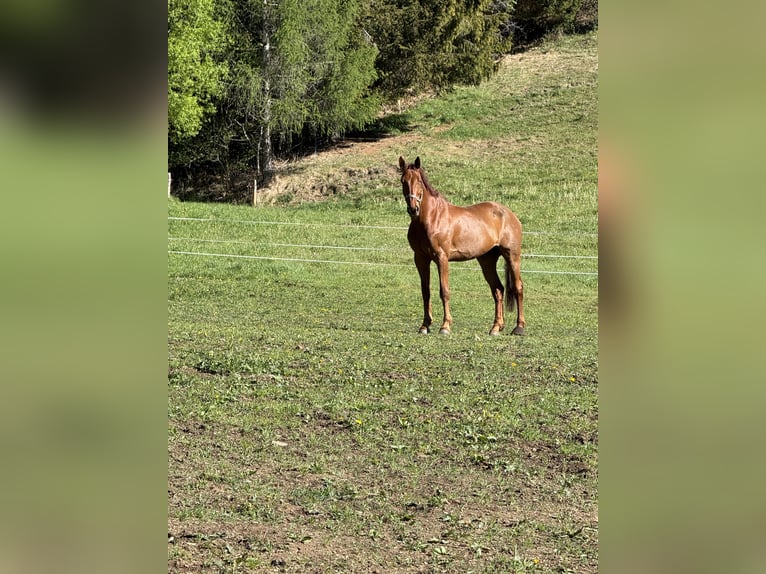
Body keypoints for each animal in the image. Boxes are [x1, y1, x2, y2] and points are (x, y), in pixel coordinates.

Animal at [399, 156, 525, 336]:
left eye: (419, 181)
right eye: (403, 181)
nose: (413, 208)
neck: (431, 218)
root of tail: (509, 214)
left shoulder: (442, 258)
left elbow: (444, 291)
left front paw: (445, 326)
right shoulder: (421, 259)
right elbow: (426, 291)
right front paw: (425, 325)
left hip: (512, 256)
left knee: (518, 288)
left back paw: (519, 327)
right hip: (487, 261)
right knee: (498, 289)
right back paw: (495, 327)